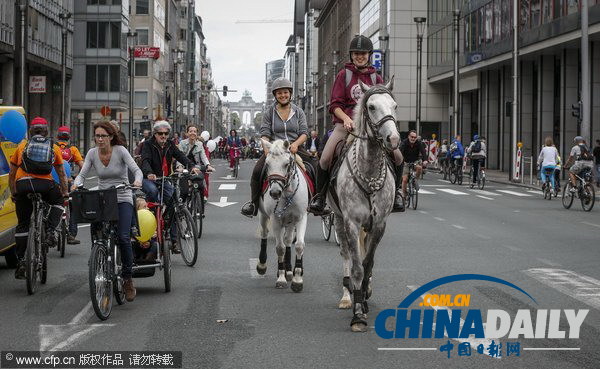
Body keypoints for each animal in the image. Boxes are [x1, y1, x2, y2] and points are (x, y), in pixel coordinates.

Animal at [255, 139, 310, 292]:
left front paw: (297, 279)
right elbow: (280, 248)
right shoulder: (275, 220)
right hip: (263, 216)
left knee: (288, 240)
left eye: (286, 164)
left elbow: (298, 245)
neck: (287, 193)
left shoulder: (301, 217)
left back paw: (289, 271)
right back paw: (262, 265)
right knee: (264, 233)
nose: (274, 193)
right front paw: (281, 278)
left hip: (291, 221)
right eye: (267, 164)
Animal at [326, 78, 400, 330]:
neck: (369, 170)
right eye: (371, 106)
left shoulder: (379, 224)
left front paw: (365, 296)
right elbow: (357, 266)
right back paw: (346, 296)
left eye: (394, 105)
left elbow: (368, 263)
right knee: (346, 254)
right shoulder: (351, 222)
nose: (394, 140)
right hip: (339, 220)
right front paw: (357, 313)